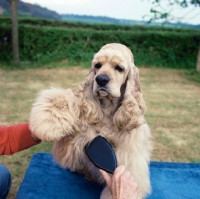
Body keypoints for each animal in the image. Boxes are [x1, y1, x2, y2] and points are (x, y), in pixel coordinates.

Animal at [29, 43, 152, 199]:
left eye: (119, 68)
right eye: (97, 65)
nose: (101, 79)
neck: (108, 110)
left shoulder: (130, 154)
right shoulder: (78, 139)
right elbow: (62, 102)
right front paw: (48, 123)